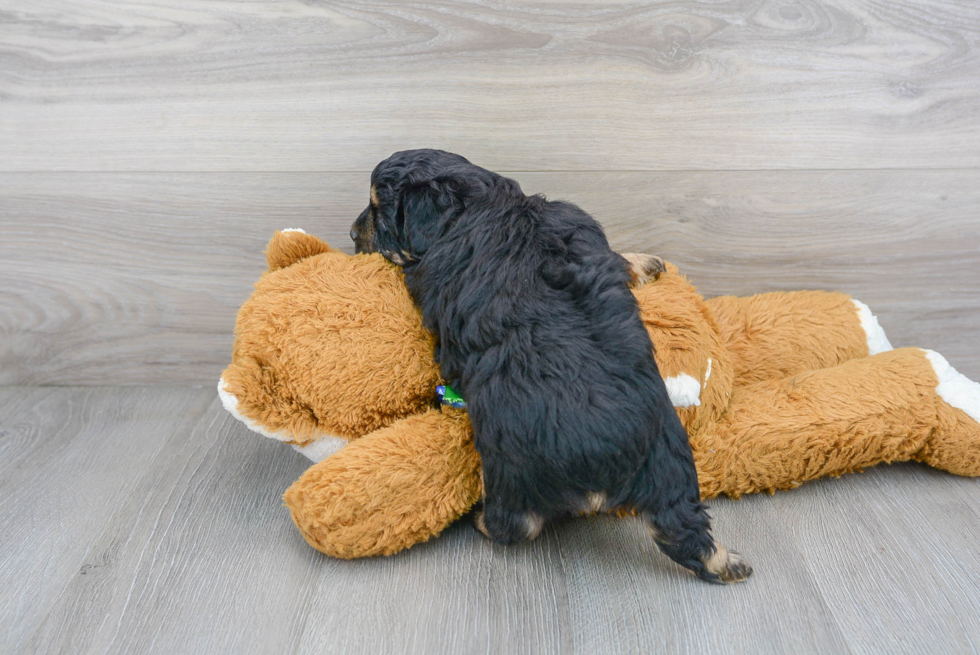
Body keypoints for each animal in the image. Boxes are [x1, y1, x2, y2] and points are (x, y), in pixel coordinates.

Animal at [350, 150, 752, 584]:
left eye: (378, 210)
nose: (352, 234)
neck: (485, 205)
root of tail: (599, 467)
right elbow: (619, 259)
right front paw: (648, 262)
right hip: (670, 463)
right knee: (686, 532)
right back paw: (730, 564)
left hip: (513, 471)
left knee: (517, 524)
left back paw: (480, 519)